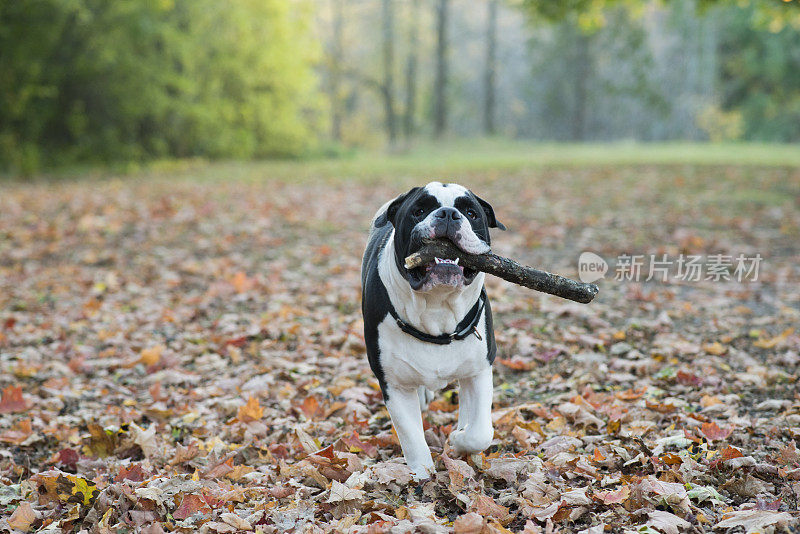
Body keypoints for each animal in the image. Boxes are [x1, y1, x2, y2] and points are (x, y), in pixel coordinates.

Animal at [364, 182, 506, 480]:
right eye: (418, 211)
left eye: (471, 213)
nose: (449, 214)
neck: (436, 308)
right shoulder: (393, 384)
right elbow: (412, 437)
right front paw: (422, 474)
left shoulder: (479, 370)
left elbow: (480, 432)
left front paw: (459, 439)